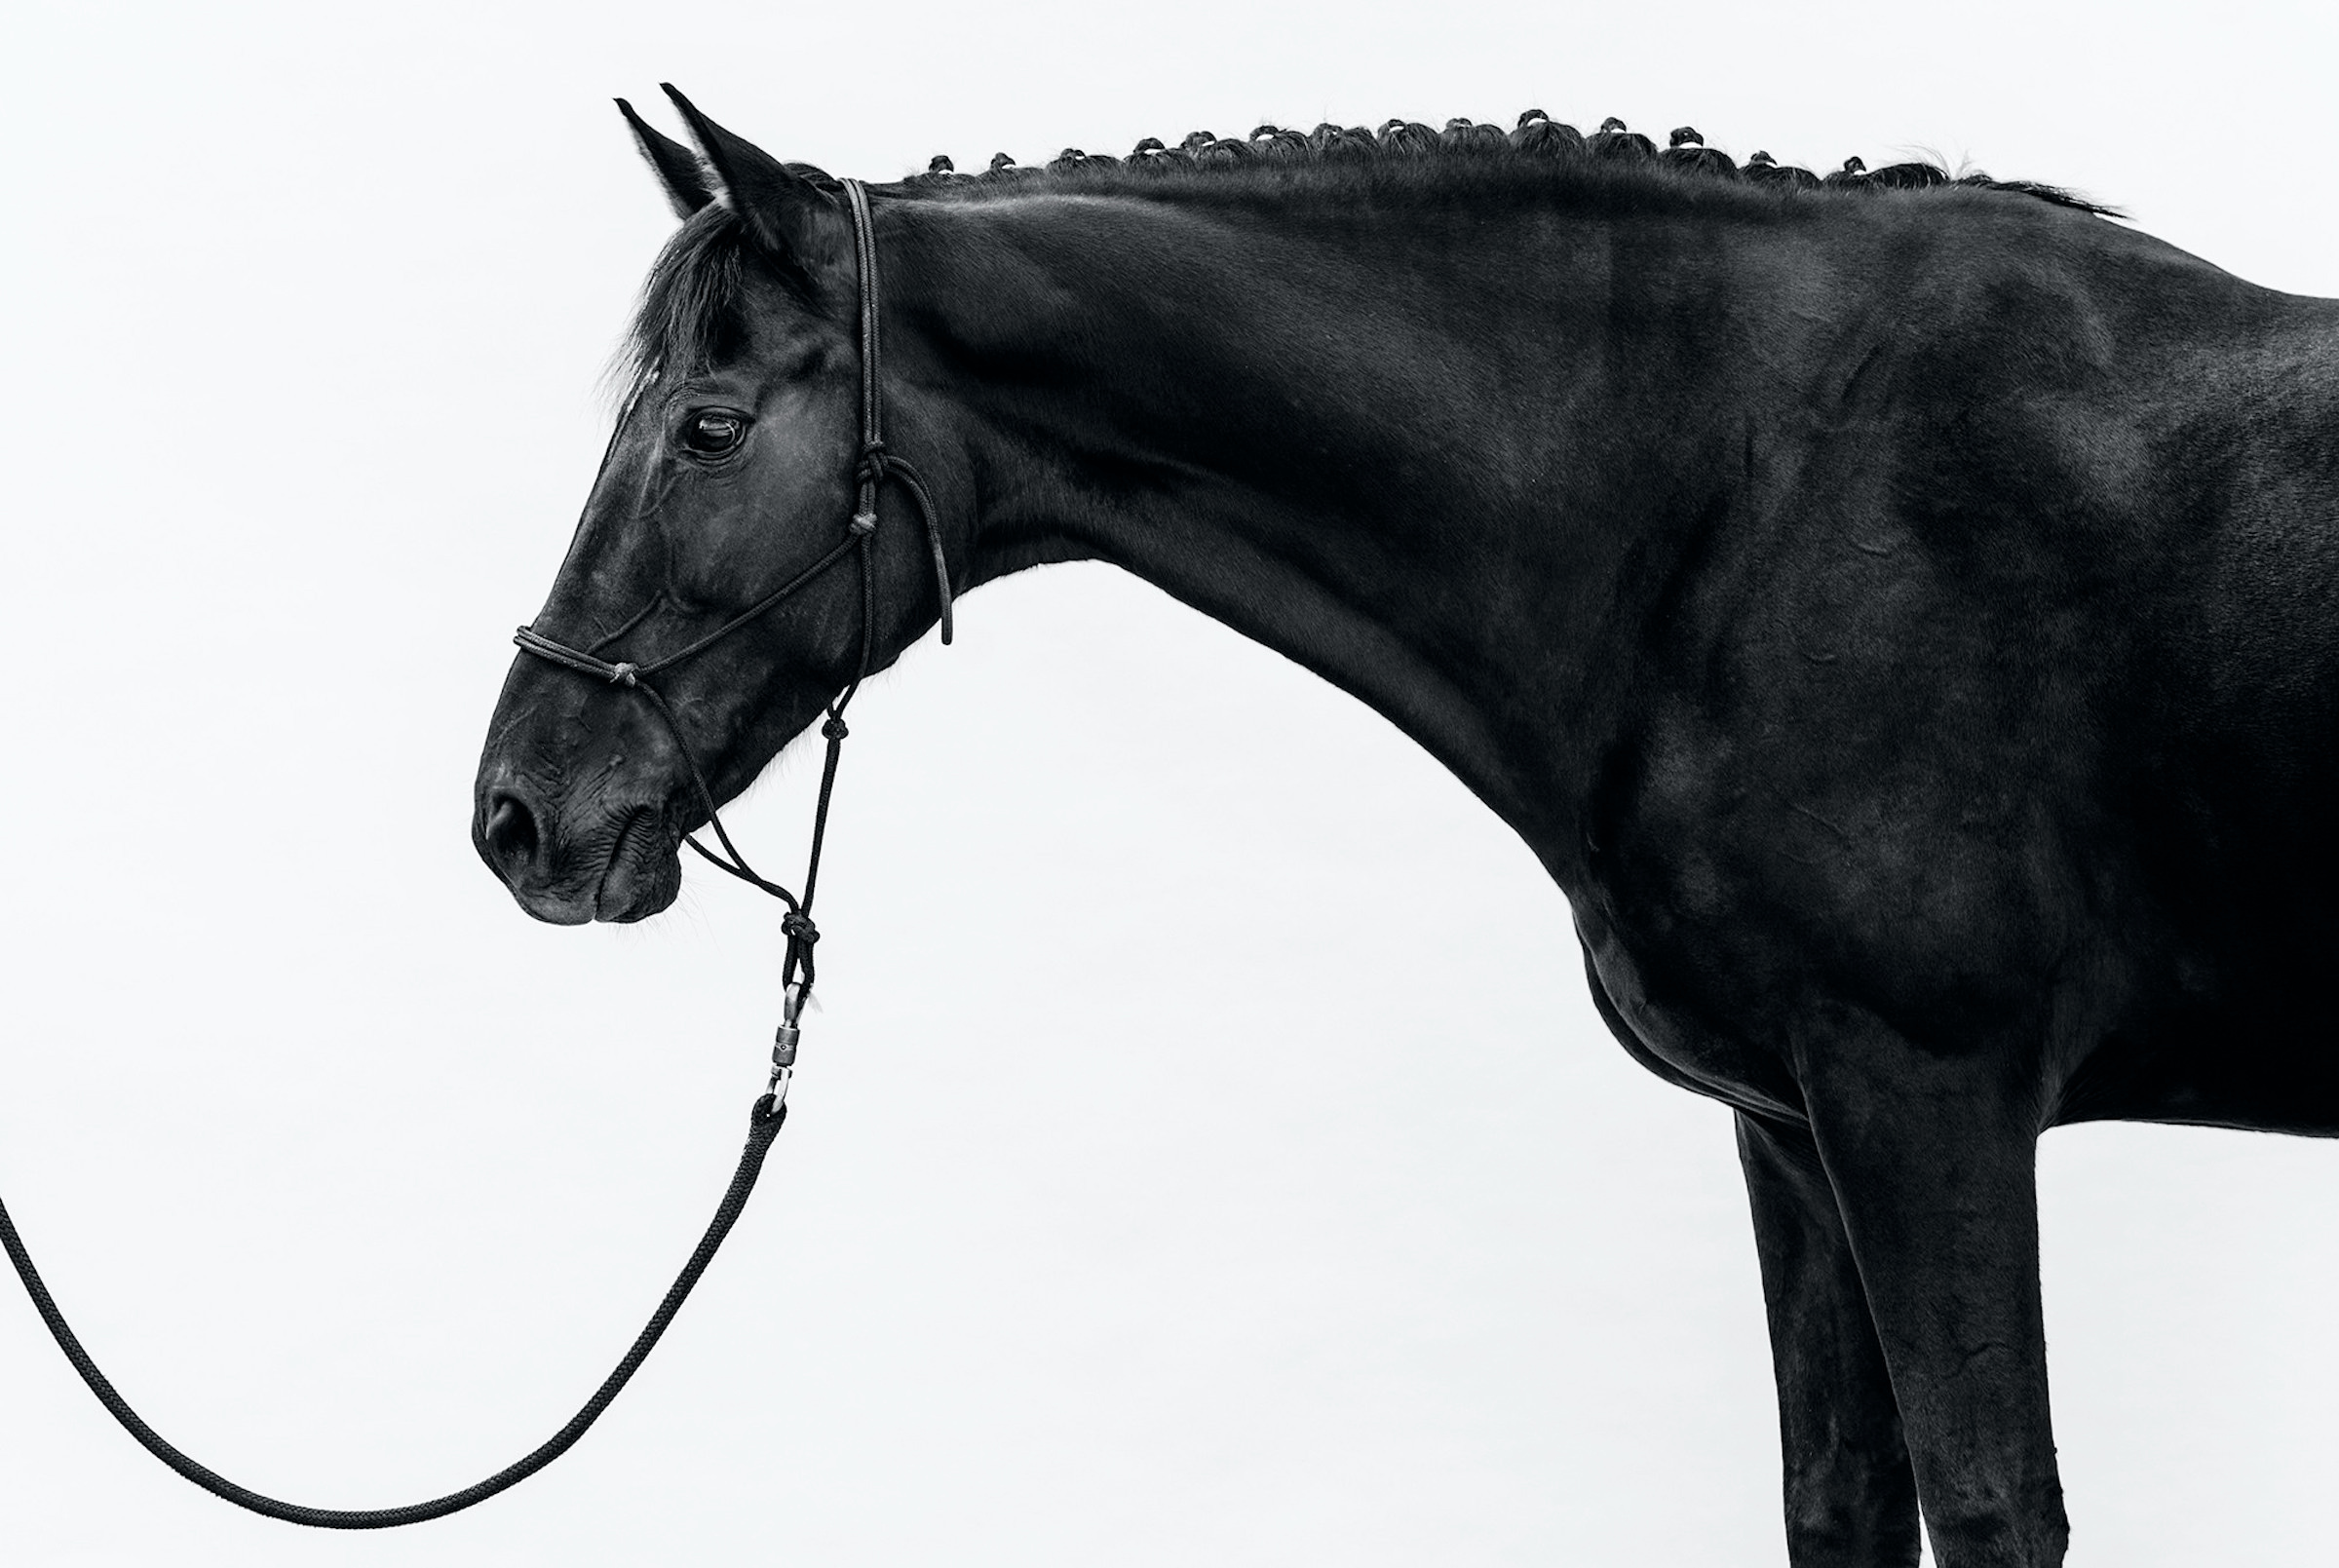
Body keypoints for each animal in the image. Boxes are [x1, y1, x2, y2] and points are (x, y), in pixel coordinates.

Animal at [472, 87, 2339, 1568]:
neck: (1749, 493)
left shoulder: (1926, 1097)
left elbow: (1996, 1503)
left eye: (709, 428)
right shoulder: (1797, 1132)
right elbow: (1843, 1505)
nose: (519, 812)